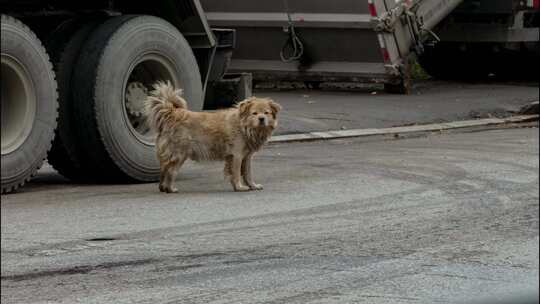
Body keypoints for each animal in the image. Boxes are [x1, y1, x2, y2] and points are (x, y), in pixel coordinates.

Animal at [146, 81, 280, 192]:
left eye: (266, 113)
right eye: (254, 113)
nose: (261, 119)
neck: (244, 127)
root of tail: (172, 113)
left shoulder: (246, 157)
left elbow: (248, 173)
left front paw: (252, 185)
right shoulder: (236, 155)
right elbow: (236, 173)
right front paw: (239, 187)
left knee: (165, 169)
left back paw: (163, 188)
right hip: (180, 154)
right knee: (170, 171)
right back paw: (170, 188)